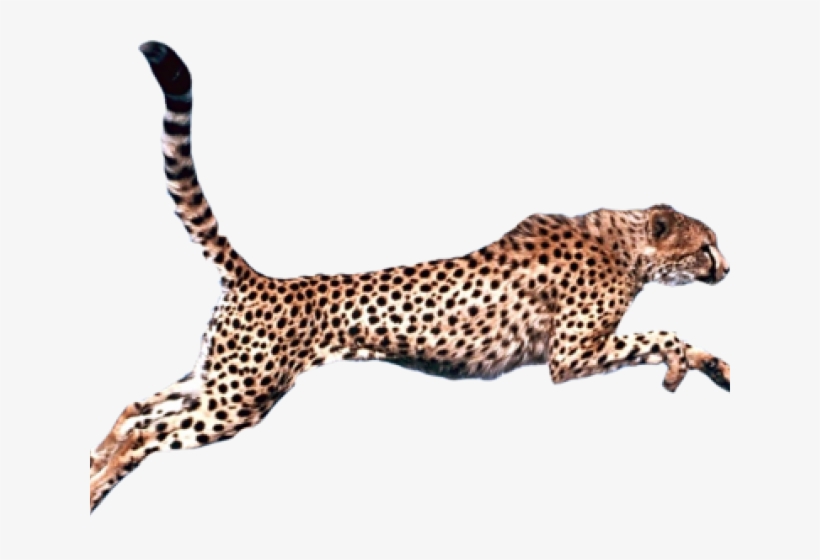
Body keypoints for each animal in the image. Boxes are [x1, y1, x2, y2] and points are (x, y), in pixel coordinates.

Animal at [90, 41, 731, 513]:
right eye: (706, 247)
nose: (728, 268)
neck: (625, 244)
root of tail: (261, 278)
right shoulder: (571, 356)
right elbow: (662, 335)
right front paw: (681, 366)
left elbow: (675, 343)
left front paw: (715, 368)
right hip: (239, 396)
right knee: (149, 431)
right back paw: (99, 485)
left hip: (216, 376)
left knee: (136, 407)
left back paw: (94, 467)